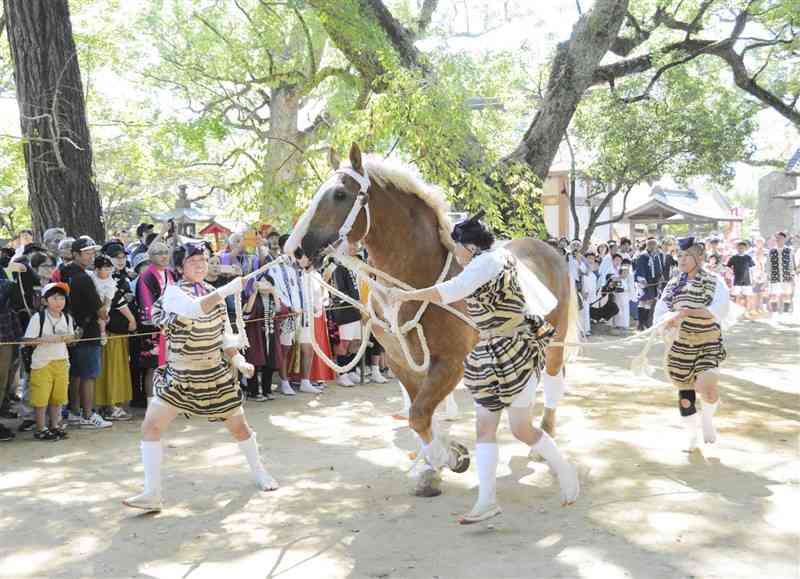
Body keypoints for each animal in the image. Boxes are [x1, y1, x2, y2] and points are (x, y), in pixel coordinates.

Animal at [288, 143, 576, 496]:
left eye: (340, 194)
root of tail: (547, 248)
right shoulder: (401, 362)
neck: (415, 280)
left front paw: (449, 457)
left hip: (556, 340)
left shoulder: (450, 362)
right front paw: (433, 464)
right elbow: (420, 416)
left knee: (552, 382)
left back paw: (543, 438)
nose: (297, 249)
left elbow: (419, 415)